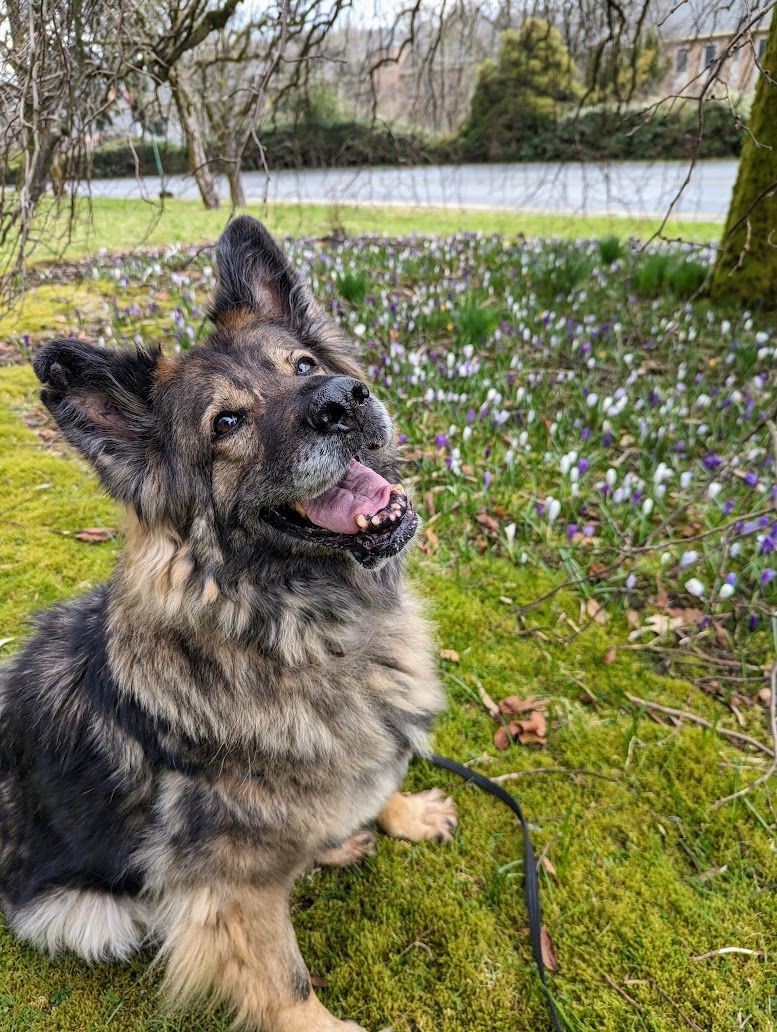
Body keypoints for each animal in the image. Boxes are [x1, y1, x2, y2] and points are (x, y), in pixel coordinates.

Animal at [0, 213, 454, 1027]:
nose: (344, 399)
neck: (311, 632)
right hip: (90, 913)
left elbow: (374, 787)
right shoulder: (227, 889)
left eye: (303, 363)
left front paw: (403, 813)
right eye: (228, 422)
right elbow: (284, 982)